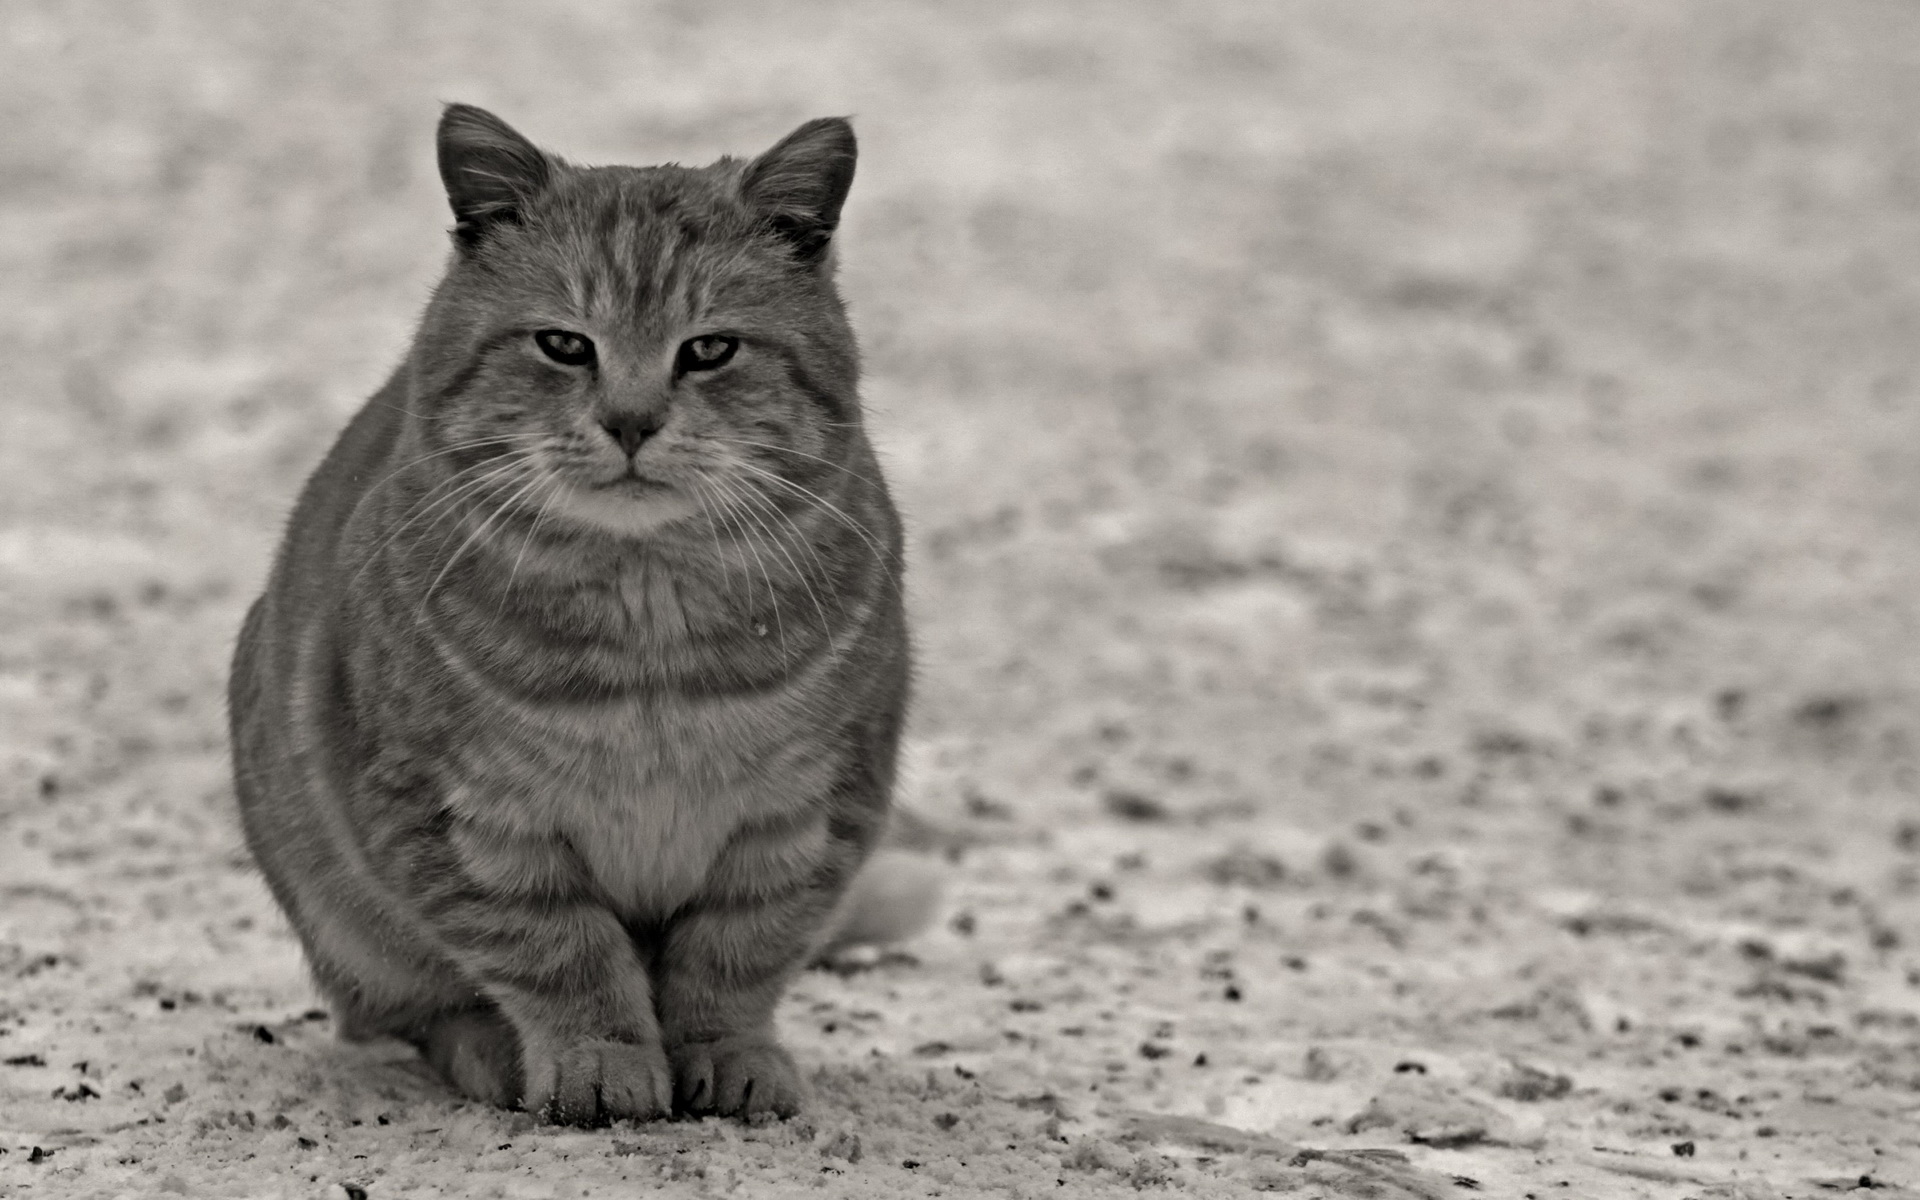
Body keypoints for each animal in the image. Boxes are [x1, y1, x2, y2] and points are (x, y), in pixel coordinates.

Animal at [222, 102, 913, 1121]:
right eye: (565, 345)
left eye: (709, 349)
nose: (630, 421)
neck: (652, 628)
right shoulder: (467, 821)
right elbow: (562, 954)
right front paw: (599, 1060)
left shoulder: (805, 815)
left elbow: (735, 956)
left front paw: (727, 1053)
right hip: (342, 908)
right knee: (412, 1012)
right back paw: (489, 1053)